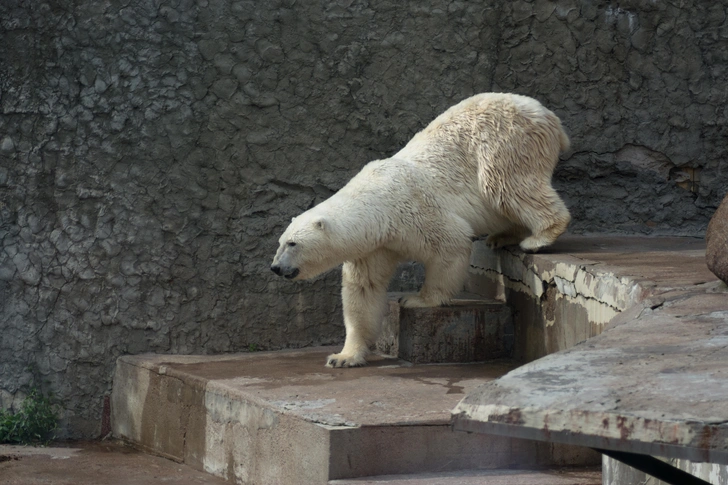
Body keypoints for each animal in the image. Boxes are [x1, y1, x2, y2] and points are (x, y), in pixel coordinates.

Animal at [270, 91, 572, 366]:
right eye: (280, 242)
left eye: (292, 244)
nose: (275, 267)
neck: (378, 208)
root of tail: (550, 117)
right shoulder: (374, 247)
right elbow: (364, 290)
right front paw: (343, 356)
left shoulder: (413, 210)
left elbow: (450, 243)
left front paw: (417, 299)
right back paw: (503, 236)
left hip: (506, 142)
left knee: (506, 186)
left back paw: (540, 237)